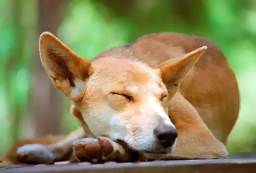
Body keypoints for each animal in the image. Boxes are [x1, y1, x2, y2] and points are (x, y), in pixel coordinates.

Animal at [6, 32, 239, 164]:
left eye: (163, 97)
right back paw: (42, 150)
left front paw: (111, 149)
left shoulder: (204, 137)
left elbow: (138, 149)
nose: (168, 135)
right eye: (122, 95)